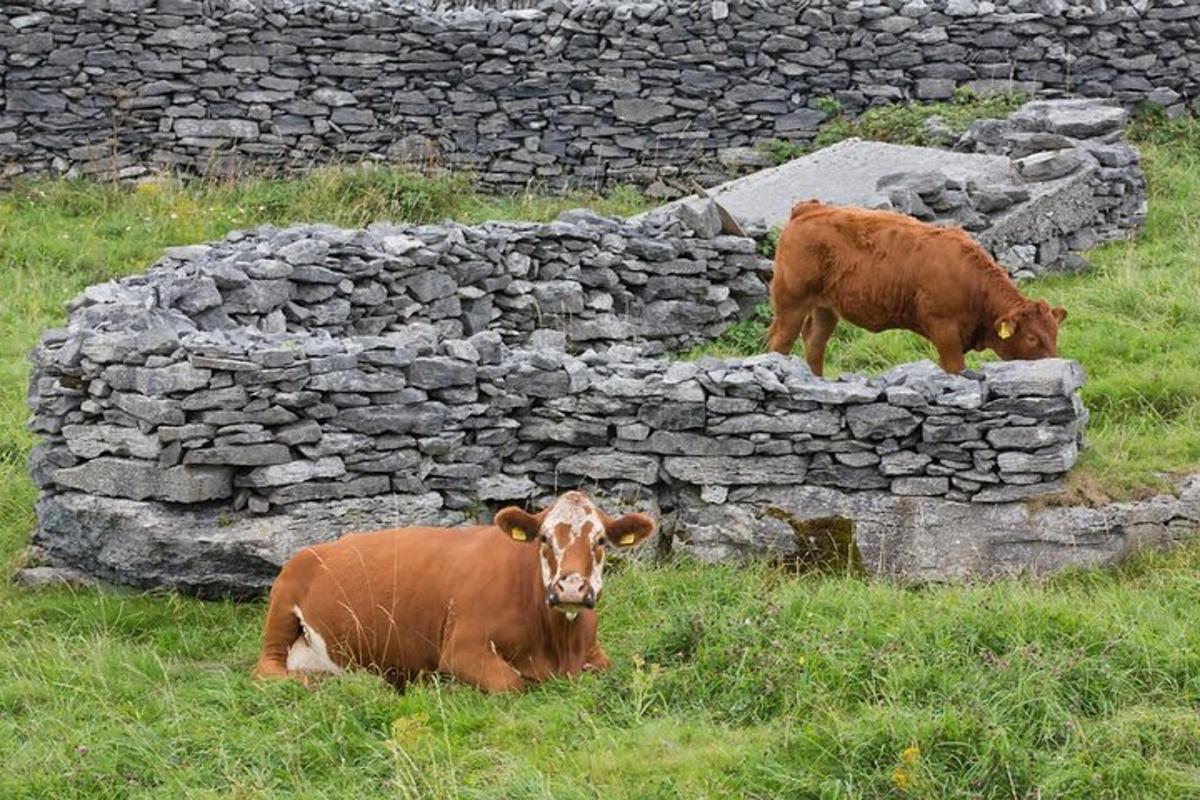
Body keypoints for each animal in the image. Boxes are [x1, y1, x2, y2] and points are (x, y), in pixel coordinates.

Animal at [252, 491, 657, 690]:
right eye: (543, 538)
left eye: (600, 540)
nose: (571, 587)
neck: (559, 645)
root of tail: (316, 549)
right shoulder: (461, 648)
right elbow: (511, 683)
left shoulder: (595, 654)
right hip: (281, 606)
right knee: (267, 669)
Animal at [763, 200, 1065, 376]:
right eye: (1032, 338)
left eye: (1054, 334)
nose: (1056, 364)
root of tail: (810, 208)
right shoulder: (945, 332)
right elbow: (955, 371)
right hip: (790, 302)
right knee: (779, 343)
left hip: (825, 307)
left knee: (814, 344)